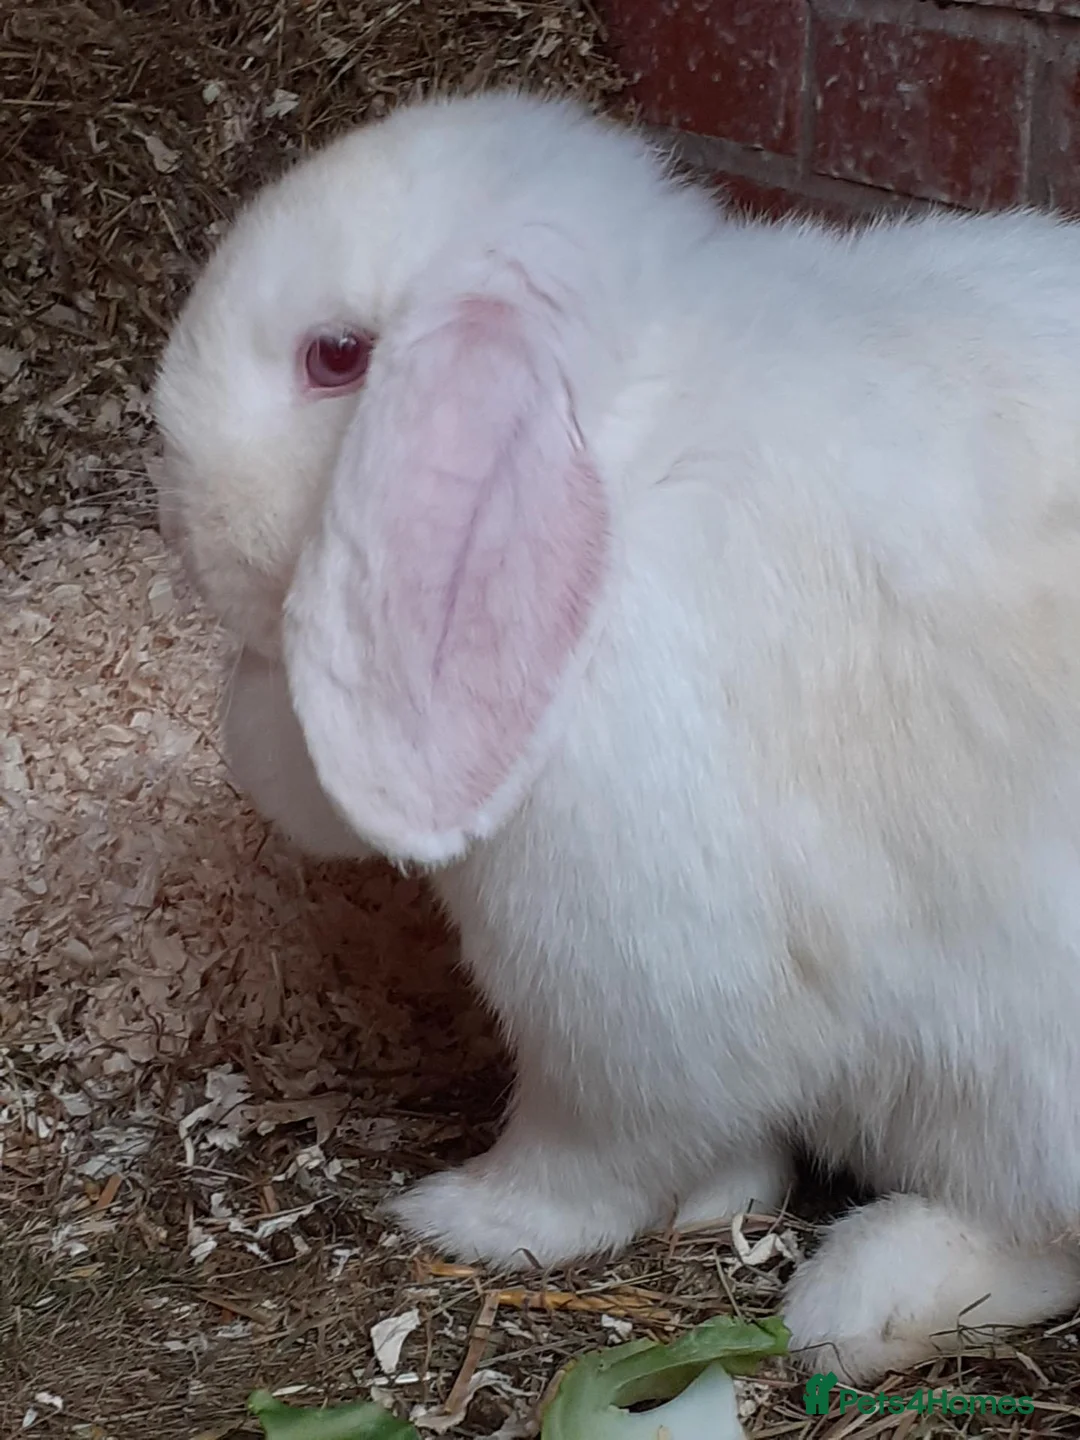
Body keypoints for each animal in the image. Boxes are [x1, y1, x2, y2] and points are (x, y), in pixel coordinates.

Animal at [151, 88, 1080, 1385]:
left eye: (335, 356)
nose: (176, 503)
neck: (626, 474)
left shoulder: (624, 989)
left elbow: (589, 1146)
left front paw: (470, 1216)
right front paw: (728, 1194)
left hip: (1026, 1068)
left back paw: (865, 1297)